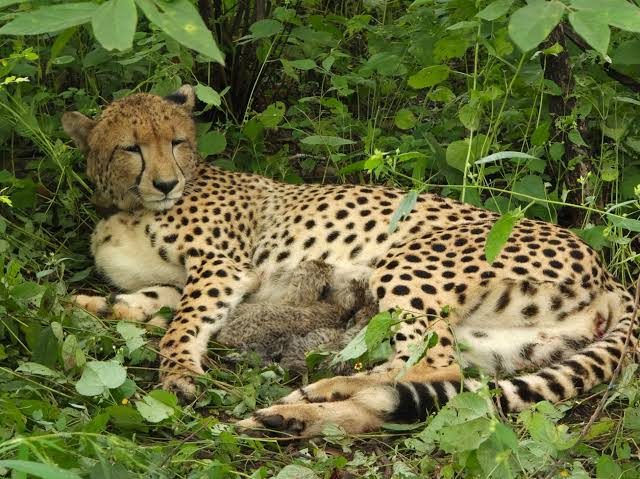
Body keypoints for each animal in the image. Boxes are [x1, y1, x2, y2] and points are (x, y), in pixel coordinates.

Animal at [63, 85, 638, 437]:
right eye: (131, 148)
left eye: (177, 142)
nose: (165, 183)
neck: (129, 205)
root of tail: (610, 272)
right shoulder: (190, 281)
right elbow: (144, 302)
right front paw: (86, 306)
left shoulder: (223, 268)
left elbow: (179, 325)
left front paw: (178, 373)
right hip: (504, 342)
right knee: (424, 381)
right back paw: (300, 410)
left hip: (409, 262)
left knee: (433, 365)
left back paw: (308, 400)